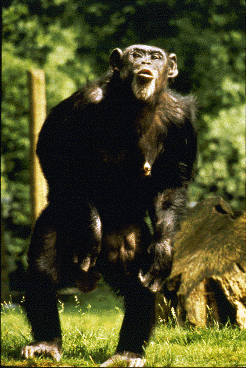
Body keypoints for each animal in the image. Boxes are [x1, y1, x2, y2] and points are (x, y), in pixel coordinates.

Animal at [21, 43, 198, 366]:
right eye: (135, 54)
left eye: (156, 57)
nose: (144, 62)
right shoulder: (82, 102)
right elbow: (53, 148)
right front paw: (92, 228)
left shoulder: (182, 121)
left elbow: (172, 182)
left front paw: (163, 250)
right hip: (60, 221)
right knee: (43, 267)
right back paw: (46, 344)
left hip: (129, 240)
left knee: (140, 285)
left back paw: (127, 353)